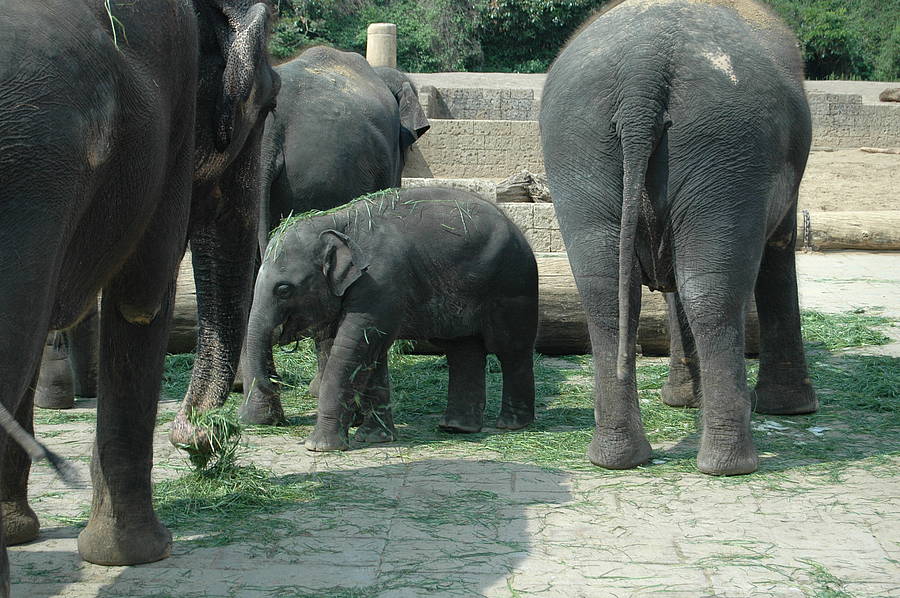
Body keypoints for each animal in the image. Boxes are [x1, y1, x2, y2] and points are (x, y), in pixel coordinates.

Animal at [240, 187, 538, 451]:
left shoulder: (380, 282)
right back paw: (456, 427)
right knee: (463, 350)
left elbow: (349, 352)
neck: (335, 220)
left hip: (513, 284)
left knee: (511, 349)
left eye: (283, 289)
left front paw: (319, 447)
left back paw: (512, 424)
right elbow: (368, 353)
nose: (278, 385)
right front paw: (374, 438)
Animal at [539, 0, 817, 476]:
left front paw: (683, 401)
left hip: (579, 144)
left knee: (608, 293)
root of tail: (643, 67)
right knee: (713, 291)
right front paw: (794, 408)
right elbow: (779, 250)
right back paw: (731, 465)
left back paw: (618, 458)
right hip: (728, 143)